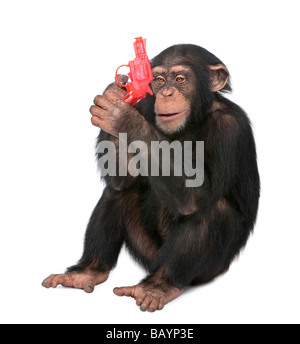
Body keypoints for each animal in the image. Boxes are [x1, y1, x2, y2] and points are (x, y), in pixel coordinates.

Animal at [42, 43, 260, 312]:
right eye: (159, 80)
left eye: (180, 79)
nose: (166, 93)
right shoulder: (146, 106)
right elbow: (121, 178)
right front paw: (114, 95)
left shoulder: (230, 129)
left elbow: (194, 195)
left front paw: (123, 118)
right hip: (147, 253)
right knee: (117, 191)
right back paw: (86, 272)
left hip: (208, 271)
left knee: (209, 209)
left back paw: (159, 287)